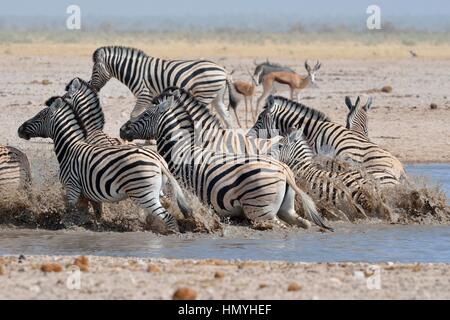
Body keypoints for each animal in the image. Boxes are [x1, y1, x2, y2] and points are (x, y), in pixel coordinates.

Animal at [17, 96, 192, 231]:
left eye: (40, 115)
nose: (19, 129)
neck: (69, 147)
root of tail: (158, 159)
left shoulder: (72, 186)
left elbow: (70, 211)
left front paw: (68, 226)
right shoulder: (88, 193)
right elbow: (96, 213)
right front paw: (95, 226)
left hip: (143, 194)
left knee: (167, 216)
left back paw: (172, 233)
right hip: (155, 191)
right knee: (164, 207)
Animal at [89, 45, 241, 127]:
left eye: (95, 69)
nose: (91, 87)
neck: (134, 70)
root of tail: (224, 72)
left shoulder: (144, 94)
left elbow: (134, 115)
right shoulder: (150, 97)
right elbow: (147, 114)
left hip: (204, 94)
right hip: (216, 97)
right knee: (227, 118)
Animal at [118, 92, 330, 230]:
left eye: (146, 114)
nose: (121, 130)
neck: (179, 150)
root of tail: (284, 169)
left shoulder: (174, 189)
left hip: (260, 211)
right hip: (286, 209)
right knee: (302, 223)